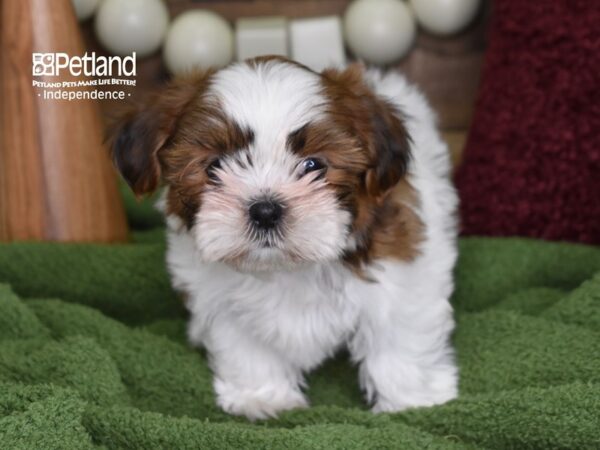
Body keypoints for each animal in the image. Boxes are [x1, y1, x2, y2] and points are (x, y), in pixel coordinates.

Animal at [110, 57, 458, 422]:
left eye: (313, 165)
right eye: (215, 166)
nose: (265, 210)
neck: (285, 268)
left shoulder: (399, 277)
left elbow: (399, 337)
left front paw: (414, 402)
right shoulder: (222, 301)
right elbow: (246, 345)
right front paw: (263, 397)